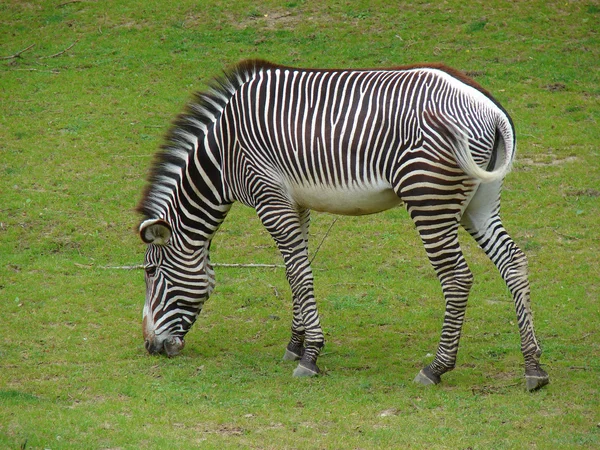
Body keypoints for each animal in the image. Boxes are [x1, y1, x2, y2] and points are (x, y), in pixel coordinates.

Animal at [138, 59, 552, 390]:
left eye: (151, 271)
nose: (150, 347)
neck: (222, 154)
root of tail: (490, 109)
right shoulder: (296, 203)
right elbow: (294, 271)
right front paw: (296, 344)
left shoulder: (269, 197)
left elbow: (299, 273)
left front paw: (310, 356)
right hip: (478, 202)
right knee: (513, 261)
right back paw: (533, 368)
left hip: (428, 196)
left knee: (458, 278)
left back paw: (436, 368)